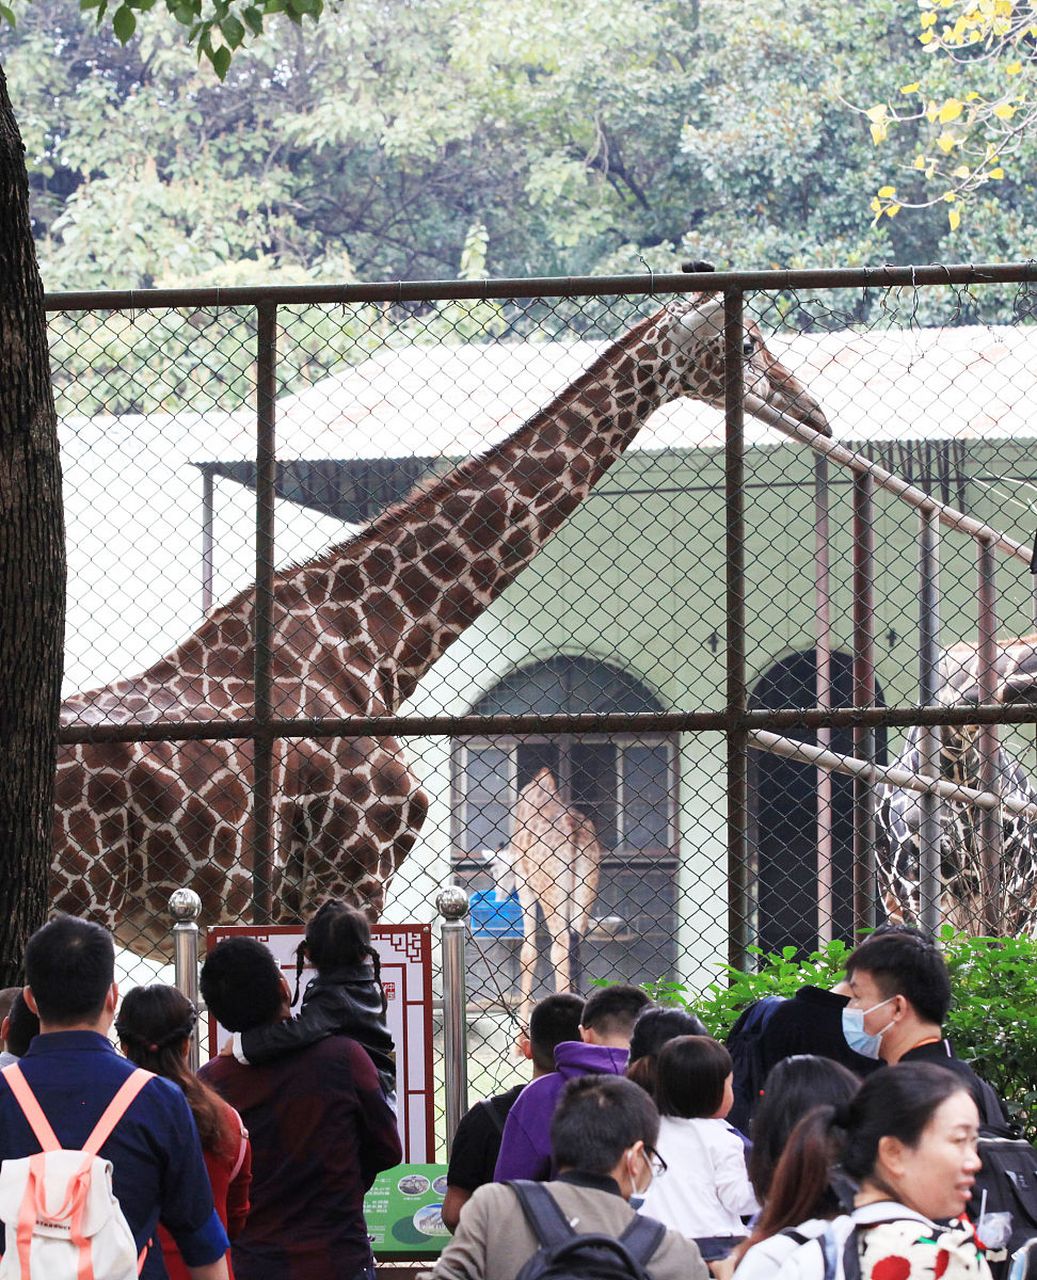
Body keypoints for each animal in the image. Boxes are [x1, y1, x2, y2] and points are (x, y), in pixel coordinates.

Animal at [496, 768, 601, 1008]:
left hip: (550, 889)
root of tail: (573, 829)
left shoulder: (524, 883)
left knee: (559, 948)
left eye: (496, 873)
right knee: (576, 947)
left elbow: (528, 953)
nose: (497, 896)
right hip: (585, 887)